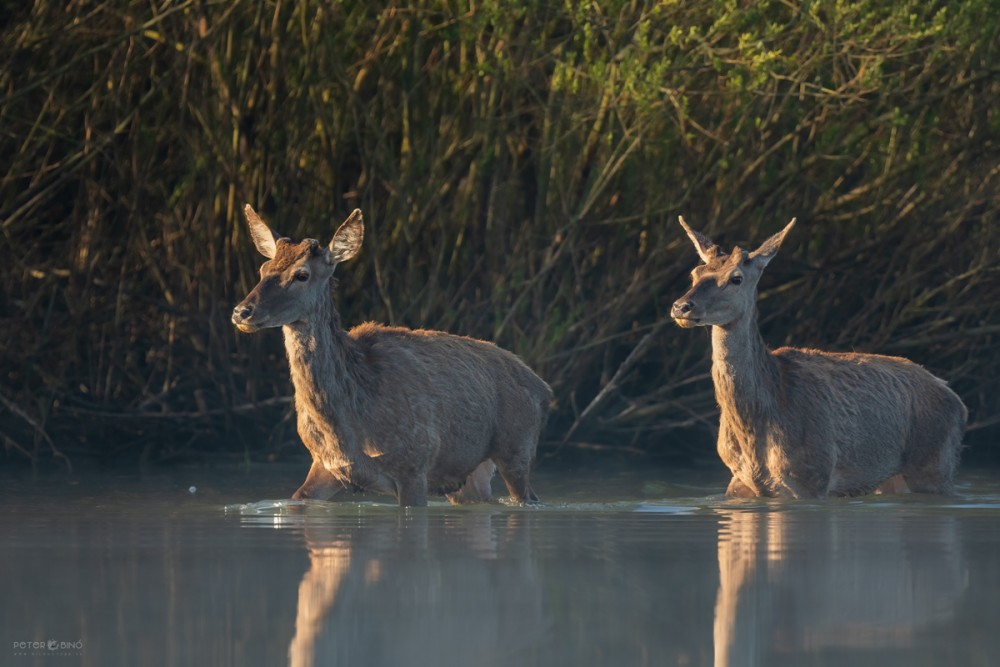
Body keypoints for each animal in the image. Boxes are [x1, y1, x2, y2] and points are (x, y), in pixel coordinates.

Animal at [232, 205, 556, 506]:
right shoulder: (325, 465)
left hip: (518, 447)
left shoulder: (414, 463)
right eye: (263, 270)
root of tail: (545, 389)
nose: (241, 312)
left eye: (301, 274)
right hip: (471, 472)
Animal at [668, 217, 964, 498]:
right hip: (892, 479)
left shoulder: (812, 476)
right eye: (695, 273)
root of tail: (958, 401)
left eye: (736, 278)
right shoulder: (739, 481)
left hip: (936, 465)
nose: (681, 306)